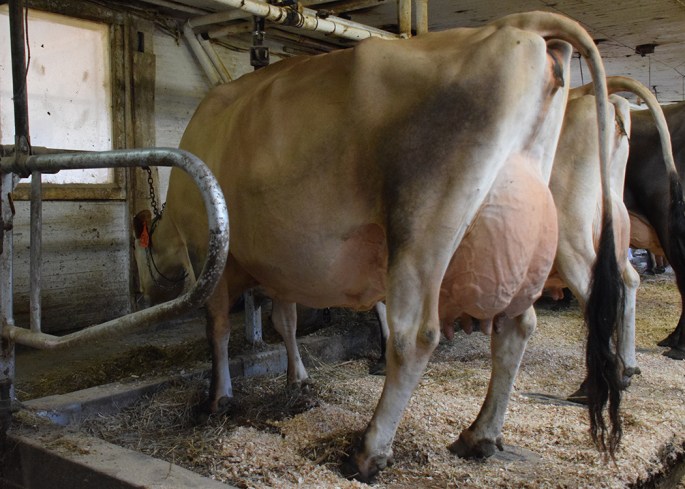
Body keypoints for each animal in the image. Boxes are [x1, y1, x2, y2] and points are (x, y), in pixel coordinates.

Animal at [134, 11, 623, 480]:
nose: (145, 290)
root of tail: (516, 24)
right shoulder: (284, 266)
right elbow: (285, 321)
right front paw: (298, 381)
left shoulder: (207, 248)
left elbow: (216, 328)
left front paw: (219, 397)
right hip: (518, 231)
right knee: (516, 327)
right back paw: (479, 435)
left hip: (421, 227)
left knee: (415, 336)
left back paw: (369, 451)